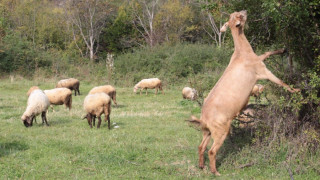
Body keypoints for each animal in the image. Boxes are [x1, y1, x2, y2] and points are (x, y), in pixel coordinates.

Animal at [189, 10, 298, 176]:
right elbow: (280, 82)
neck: (241, 53)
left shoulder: (259, 59)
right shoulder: (262, 71)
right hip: (221, 130)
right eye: (239, 16)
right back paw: (215, 172)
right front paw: (295, 90)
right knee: (212, 151)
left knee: (201, 146)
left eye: (235, 14)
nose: (245, 11)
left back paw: (202, 166)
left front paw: (283, 50)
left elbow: (267, 52)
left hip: (207, 131)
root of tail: (204, 118)